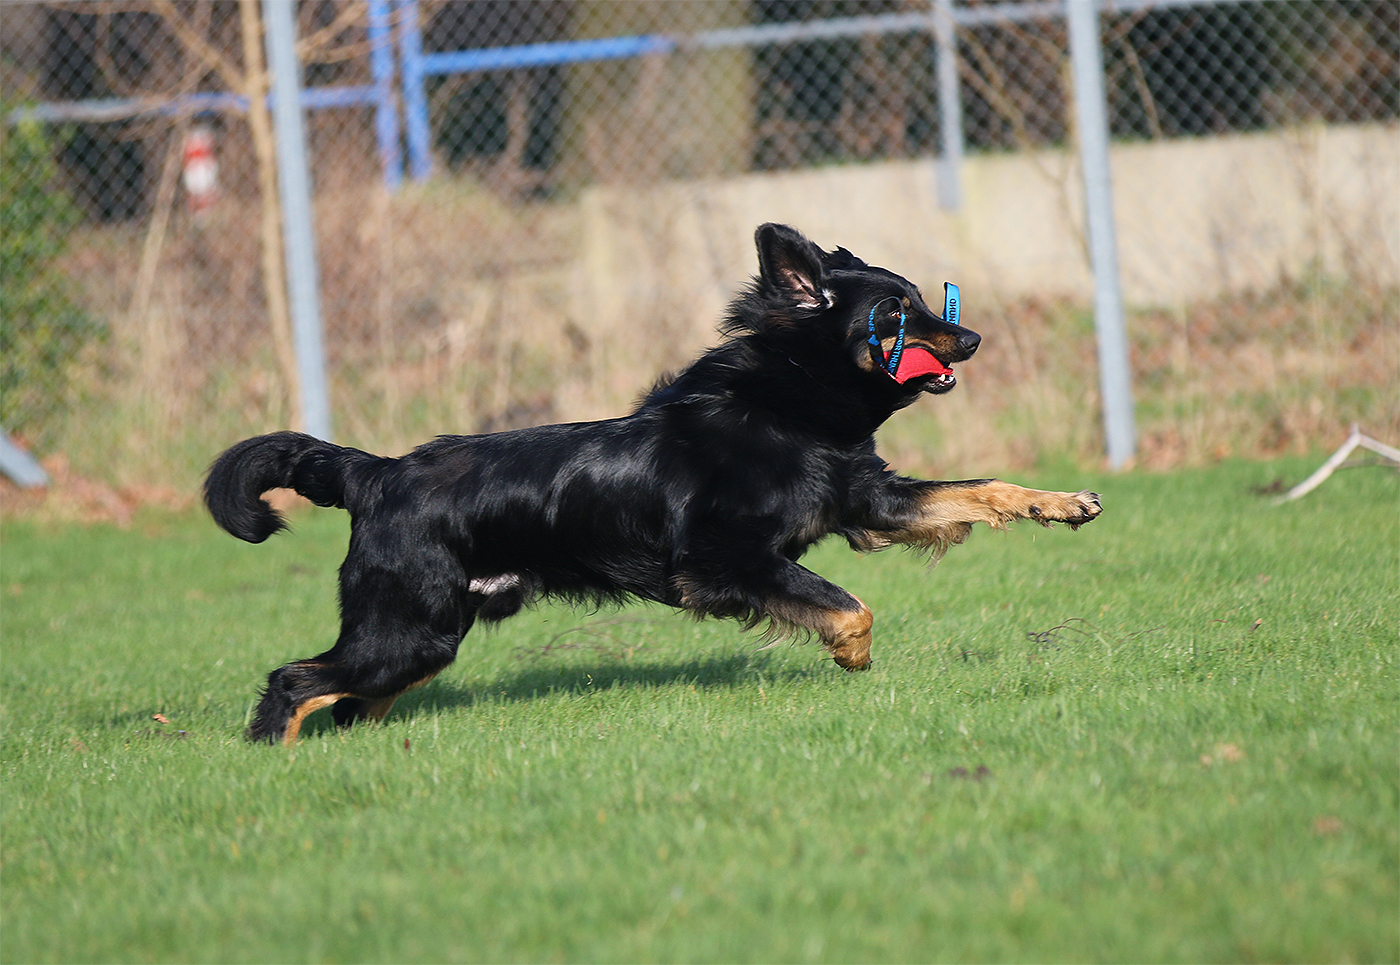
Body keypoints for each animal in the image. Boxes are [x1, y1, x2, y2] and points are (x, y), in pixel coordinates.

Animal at [205, 224, 1101, 744]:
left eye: (925, 301)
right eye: (897, 312)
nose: (973, 338)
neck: (784, 406)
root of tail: (374, 470)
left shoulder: (867, 502)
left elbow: (981, 488)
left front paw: (1061, 502)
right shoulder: (722, 561)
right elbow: (851, 604)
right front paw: (850, 650)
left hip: (424, 638)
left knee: (346, 700)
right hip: (407, 630)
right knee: (294, 682)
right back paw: (271, 754)